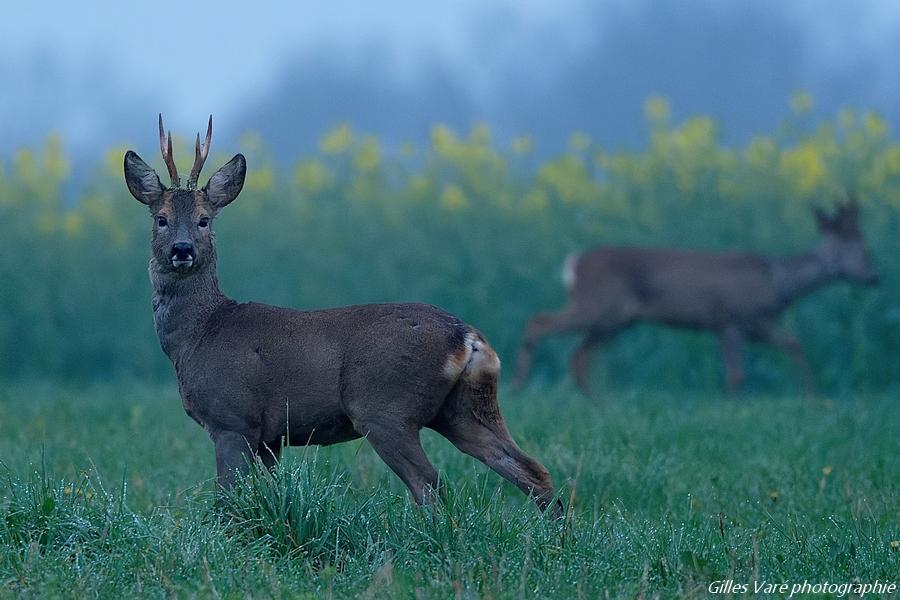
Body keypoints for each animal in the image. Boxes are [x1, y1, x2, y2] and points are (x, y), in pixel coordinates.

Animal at [125, 116, 564, 516]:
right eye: (161, 219)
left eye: (204, 220)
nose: (182, 249)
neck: (199, 335)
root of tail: (467, 337)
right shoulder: (271, 436)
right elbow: (263, 493)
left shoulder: (233, 419)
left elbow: (226, 500)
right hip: (462, 409)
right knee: (529, 469)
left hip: (385, 407)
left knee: (431, 483)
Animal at [512, 202, 880, 396]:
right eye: (862, 250)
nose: (875, 277)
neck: (778, 284)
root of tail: (574, 262)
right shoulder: (733, 319)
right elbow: (737, 374)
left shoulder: (756, 324)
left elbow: (793, 345)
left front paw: (812, 395)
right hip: (600, 306)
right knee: (539, 321)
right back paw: (519, 385)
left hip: (617, 320)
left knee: (579, 355)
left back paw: (598, 401)